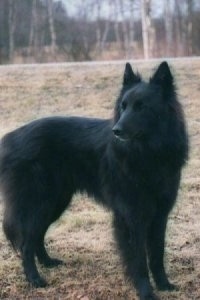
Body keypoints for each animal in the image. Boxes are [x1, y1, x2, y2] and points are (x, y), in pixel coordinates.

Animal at [0, 62, 188, 298]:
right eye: (123, 107)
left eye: (141, 107)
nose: (116, 131)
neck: (147, 153)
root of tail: (9, 138)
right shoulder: (130, 217)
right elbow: (138, 260)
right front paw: (146, 292)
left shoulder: (159, 215)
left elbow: (157, 254)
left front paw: (164, 285)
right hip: (39, 204)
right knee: (26, 242)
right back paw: (35, 279)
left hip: (55, 203)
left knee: (36, 236)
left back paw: (48, 262)